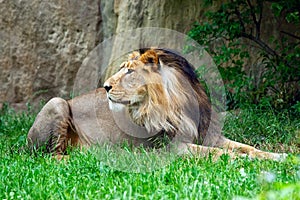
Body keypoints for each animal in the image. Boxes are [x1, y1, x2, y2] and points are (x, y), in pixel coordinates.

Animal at [27, 47, 286, 160]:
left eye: (130, 72)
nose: (106, 86)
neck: (179, 104)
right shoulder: (173, 146)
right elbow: (220, 154)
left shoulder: (210, 135)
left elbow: (247, 147)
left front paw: (280, 157)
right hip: (57, 103)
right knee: (51, 156)